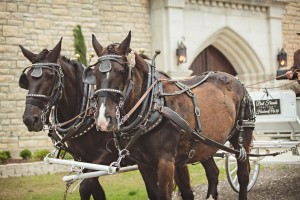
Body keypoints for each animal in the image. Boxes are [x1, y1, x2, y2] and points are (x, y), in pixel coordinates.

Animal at [19, 38, 220, 199]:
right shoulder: (84, 161)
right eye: (26, 79)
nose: (30, 119)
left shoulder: (106, 156)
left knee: (210, 174)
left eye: (50, 76)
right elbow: (94, 190)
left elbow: (85, 187)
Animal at [89, 30, 255, 199]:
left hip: (242, 137)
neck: (154, 106)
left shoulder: (166, 162)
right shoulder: (143, 164)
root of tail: (237, 81)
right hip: (206, 143)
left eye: (121, 71)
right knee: (213, 173)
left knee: (243, 174)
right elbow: (154, 193)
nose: (103, 119)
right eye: (94, 73)